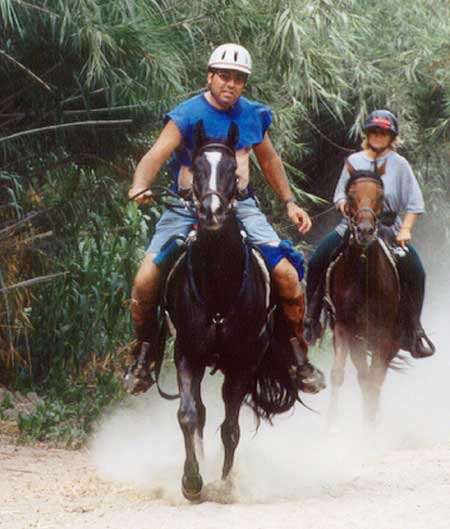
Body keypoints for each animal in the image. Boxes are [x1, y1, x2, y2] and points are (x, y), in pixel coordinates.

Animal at [164, 119, 298, 500]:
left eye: (230, 170)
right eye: (197, 167)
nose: (212, 211)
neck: (218, 284)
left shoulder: (242, 362)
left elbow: (231, 428)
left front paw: (224, 484)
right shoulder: (187, 353)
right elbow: (189, 415)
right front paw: (192, 481)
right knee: (201, 412)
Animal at [326, 164, 400, 428]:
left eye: (381, 195)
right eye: (350, 196)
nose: (365, 231)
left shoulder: (384, 333)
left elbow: (375, 379)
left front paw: (369, 426)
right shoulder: (346, 327)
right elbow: (343, 374)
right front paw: (331, 426)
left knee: (377, 377)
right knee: (359, 375)